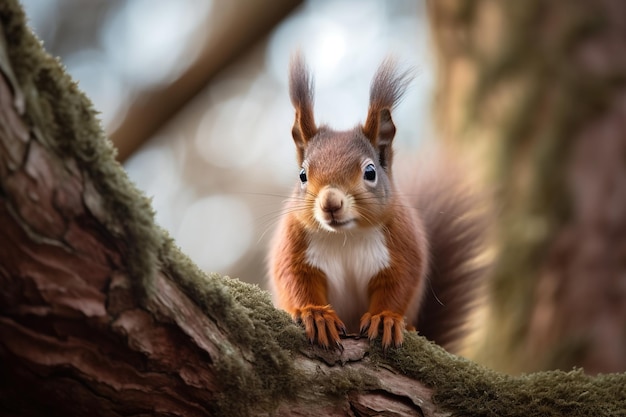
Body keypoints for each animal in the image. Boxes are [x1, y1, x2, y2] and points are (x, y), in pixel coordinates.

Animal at [266, 52, 486, 352]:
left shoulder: (402, 245)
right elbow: (294, 280)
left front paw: (384, 319)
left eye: (370, 172)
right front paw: (316, 314)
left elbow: (398, 284)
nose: (330, 203)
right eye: (302, 175)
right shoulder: (293, 244)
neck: (345, 237)